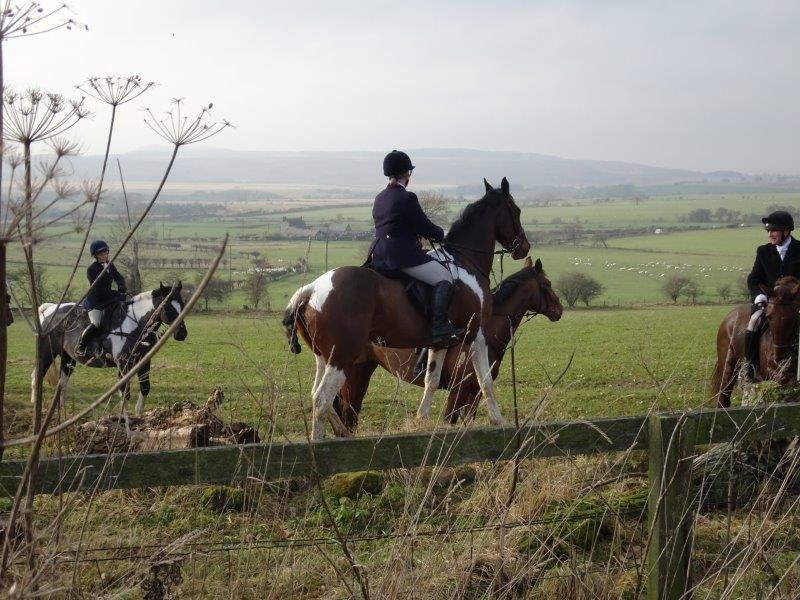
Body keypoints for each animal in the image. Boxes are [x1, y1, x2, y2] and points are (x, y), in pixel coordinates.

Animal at [33, 282, 188, 416]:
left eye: (183, 305)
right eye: (168, 308)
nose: (182, 334)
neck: (135, 325)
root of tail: (50, 309)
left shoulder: (144, 361)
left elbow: (145, 388)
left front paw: (138, 415)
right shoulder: (123, 364)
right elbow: (125, 392)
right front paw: (124, 418)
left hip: (68, 357)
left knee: (62, 383)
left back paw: (62, 412)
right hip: (47, 354)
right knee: (37, 376)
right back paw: (37, 407)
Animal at [284, 177, 530, 439]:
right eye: (516, 211)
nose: (524, 247)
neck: (465, 261)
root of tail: (312, 288)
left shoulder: (441, 341)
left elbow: (431, 380)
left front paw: (422, 420)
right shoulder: (476, 333)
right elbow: (486, 381)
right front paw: (498, 420)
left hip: (323, 357)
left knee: (318, 397)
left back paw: (338, 432)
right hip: (341, 357)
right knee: (322, 399)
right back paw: (319, 442)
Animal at [331, 257, 563, 431]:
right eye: (548, 284)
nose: (559, 310)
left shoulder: (474, 392)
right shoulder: (457, 391)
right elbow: (449, 420)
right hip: (354, 375)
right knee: (348, 413)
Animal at [711, 276, 800, 407]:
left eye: (794, 317)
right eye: (768, 316)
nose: (779, 360)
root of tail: (729, 316)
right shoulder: (769, 371)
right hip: (728, 363)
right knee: (724, 395)